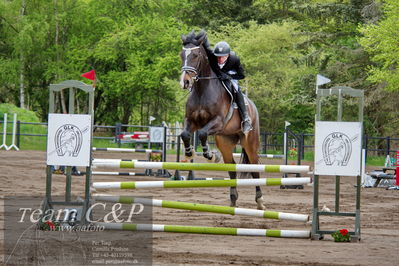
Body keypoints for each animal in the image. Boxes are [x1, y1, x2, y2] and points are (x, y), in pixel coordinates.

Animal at [179, 31, 266, 210]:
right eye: (181, 55)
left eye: (195, 55)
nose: (185, 82)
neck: (202, 90)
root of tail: (253, 107)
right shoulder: (191, 121)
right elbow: (185, 134)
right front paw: (189, 153)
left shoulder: (217, 122)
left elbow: (203, 134)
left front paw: (211, 156)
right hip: (225, 141)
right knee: (232, 168)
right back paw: (233, 199)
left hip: (251, 142)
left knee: (255, 169)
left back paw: (260, 201)